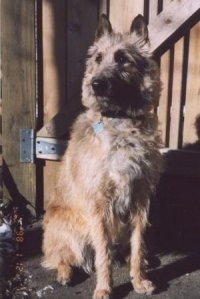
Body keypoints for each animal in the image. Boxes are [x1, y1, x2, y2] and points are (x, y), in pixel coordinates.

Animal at [42, 14, 162, 299]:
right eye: (98, 58)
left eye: (122, 58)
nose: (96, 84)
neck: (121, 123)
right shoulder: (98, 204)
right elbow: (103, 255)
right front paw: (104, 289)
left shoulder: (140, 199)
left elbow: (138, 244)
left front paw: (139, 279)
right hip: (66, 227)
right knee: (60, 256)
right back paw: (64, 272)